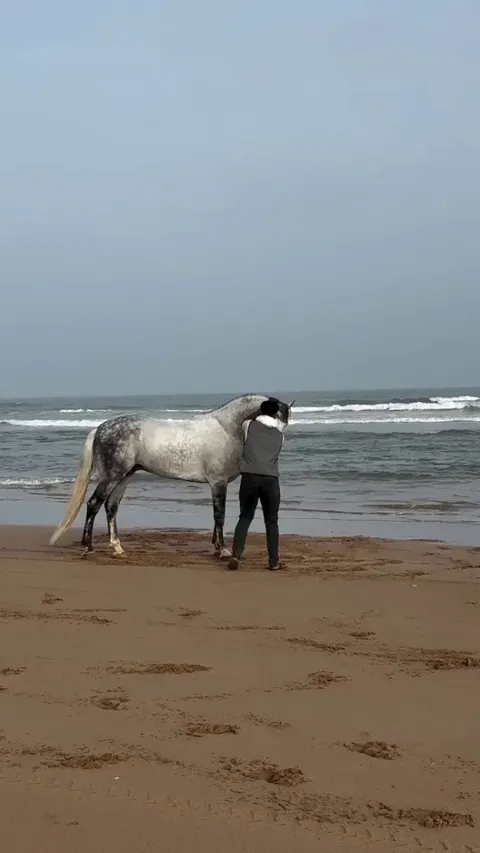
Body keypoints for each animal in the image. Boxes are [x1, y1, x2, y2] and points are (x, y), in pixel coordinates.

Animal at [49, 394, 292, 557]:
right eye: (274, 418)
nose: (279, 441)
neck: (226, 429)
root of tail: (99, 428)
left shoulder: (217, 483)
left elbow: (217, 516)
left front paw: (216, 547)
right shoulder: (217, 482)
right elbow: (219, 515)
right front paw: (222, 550)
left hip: (125, 476)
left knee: (111, 507)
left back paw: (117, 548)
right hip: (112, 476)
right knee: (93, 504)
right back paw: (88, 547)